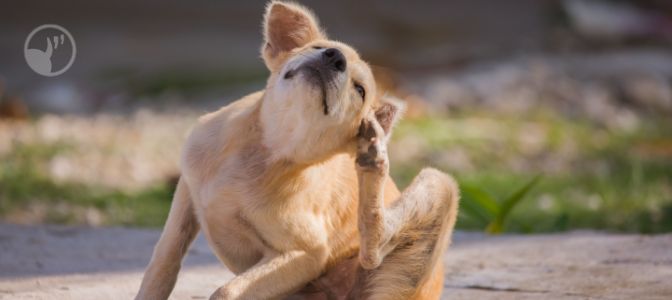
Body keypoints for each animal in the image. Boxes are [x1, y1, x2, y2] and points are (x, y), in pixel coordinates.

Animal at [136, 1, 462, 298]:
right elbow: (163, 261)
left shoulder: (305, 254)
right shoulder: (187, 191)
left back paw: (373, 159)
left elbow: (227, 291)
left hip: (439, 185)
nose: (334, 57)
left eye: (360, 90)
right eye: (319, 47)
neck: (269, 149)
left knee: (374, 250)